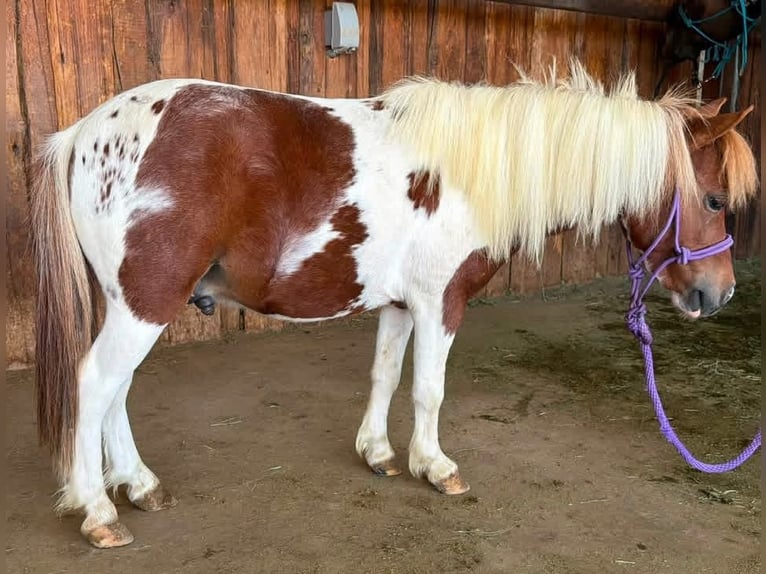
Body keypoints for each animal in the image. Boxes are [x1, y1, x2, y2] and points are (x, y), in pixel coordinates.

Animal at [31, 60, 758, 548]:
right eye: (714, 199)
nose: (718, 293)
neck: (474, 170)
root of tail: (84, 133)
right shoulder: (441, 304)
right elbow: (429, 390)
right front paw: (433, 466)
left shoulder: (401, 304)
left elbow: (384, 374)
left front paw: (377, 453)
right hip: (146, 304)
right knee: (95, 384)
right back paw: (98, 511)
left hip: (135, 304)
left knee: (117, 392)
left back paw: (139, 485)